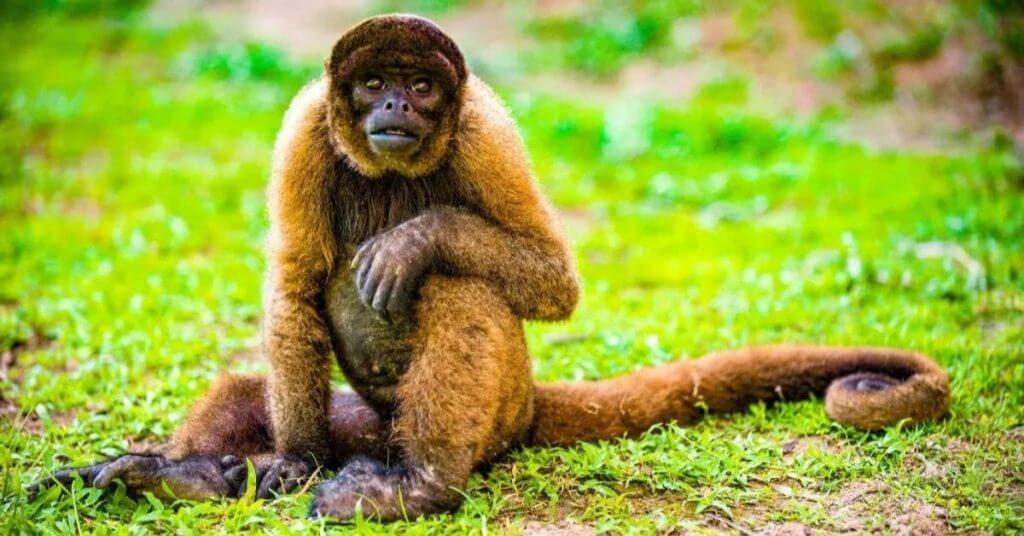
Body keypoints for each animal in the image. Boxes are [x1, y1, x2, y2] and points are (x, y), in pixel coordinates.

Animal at [29, 14, 951, 522]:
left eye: (419, 87)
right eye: (372, 82)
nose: (393, 104)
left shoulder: (484, 128)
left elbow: (550, 278)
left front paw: (414, 238)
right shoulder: (302, 126)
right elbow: (292, 286)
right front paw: (285, 462)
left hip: (496, 413)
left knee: (457, 288)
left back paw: (421, 487)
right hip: (366, 427)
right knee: (243, 393)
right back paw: (185, 477)